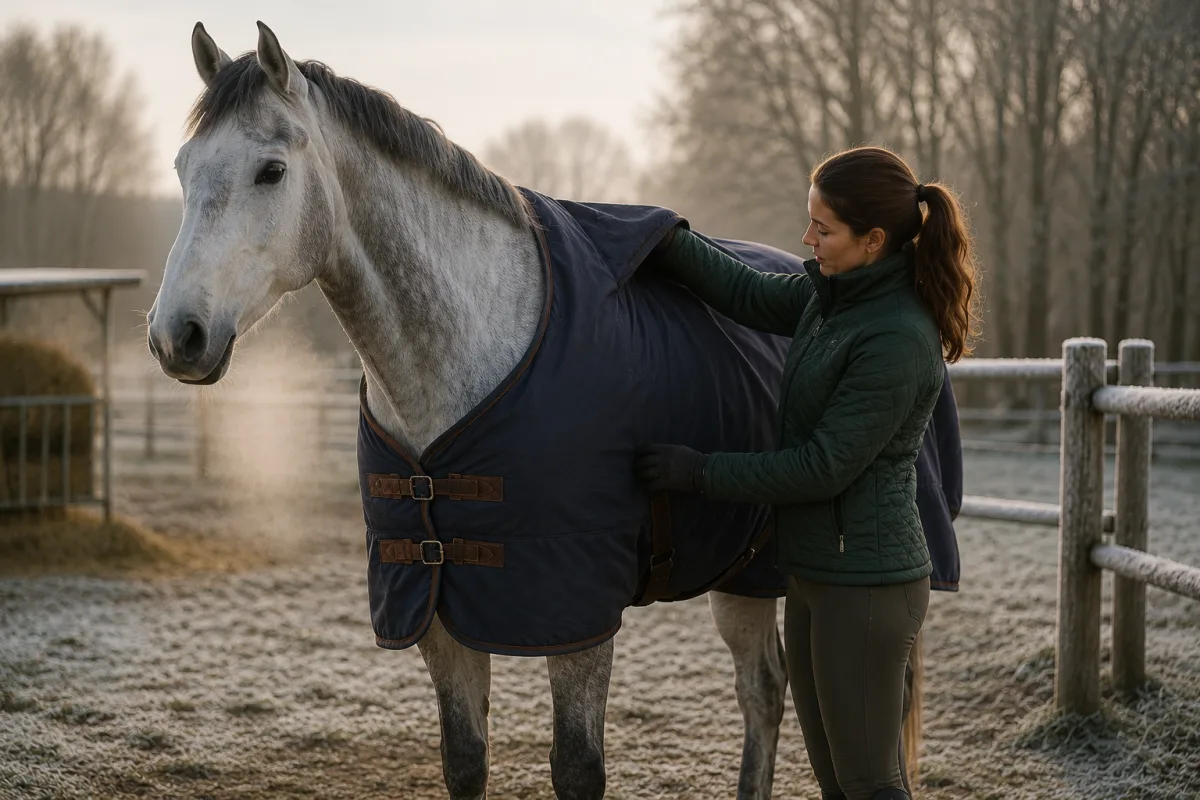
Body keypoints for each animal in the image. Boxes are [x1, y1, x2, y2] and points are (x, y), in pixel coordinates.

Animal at [146, 21, 923, 799]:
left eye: (271, 171)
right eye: (183, 168)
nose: (175, 335)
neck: (468, 355)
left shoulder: (577, 615)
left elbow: (577, 766)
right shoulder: (437, 606)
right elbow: (465, 759)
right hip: (741, 572)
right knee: (765, 688)